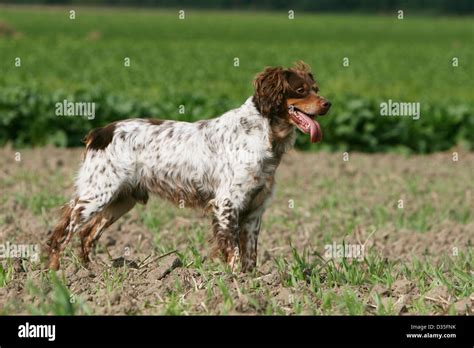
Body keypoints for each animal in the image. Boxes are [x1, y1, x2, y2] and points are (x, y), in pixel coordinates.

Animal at [47, 61, 330, 272]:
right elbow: (234, 253)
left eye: (315, 88)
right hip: (97, 194)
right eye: (301, 90)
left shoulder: (254, 210)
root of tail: (100, 132)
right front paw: (235, 283)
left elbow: (250, 255)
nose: (328, 104)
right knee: (62, 232)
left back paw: (90, 273)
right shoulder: (227, 203)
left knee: (86, 235)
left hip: (120, 200)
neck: (263, 133)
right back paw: (55, 275)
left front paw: (253, 283)